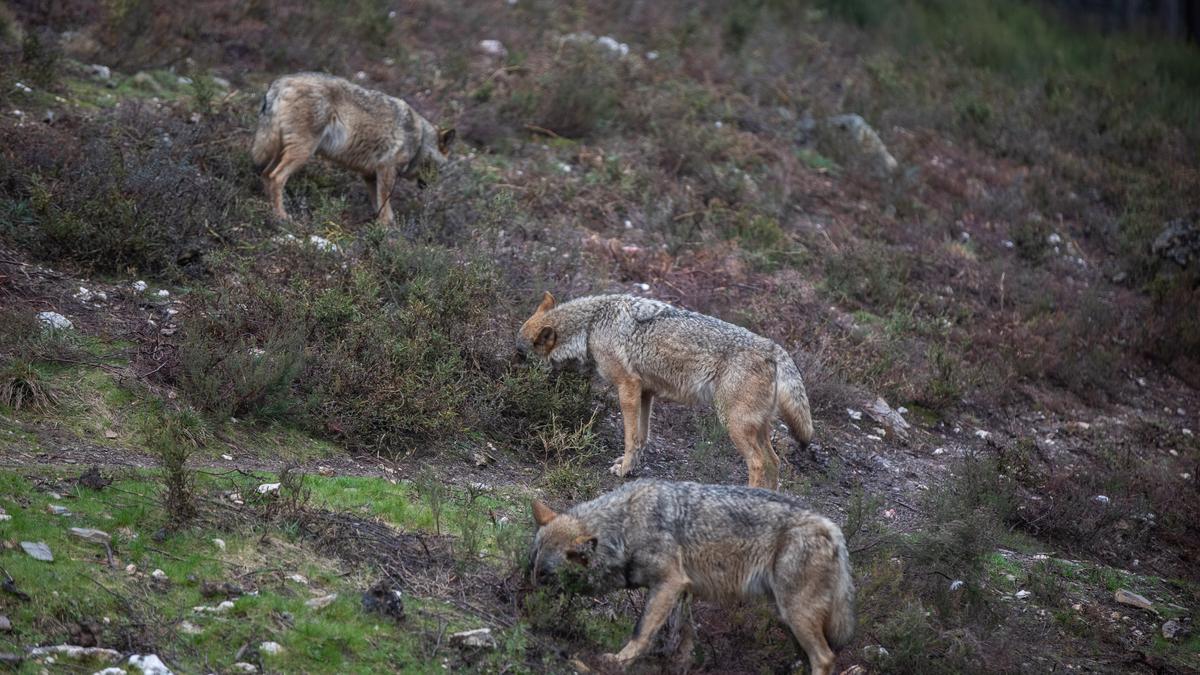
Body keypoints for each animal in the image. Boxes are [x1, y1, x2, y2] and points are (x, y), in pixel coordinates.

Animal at [250, 72, 456, 222]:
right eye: (440, 169)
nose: (429, 186)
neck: (420, 141)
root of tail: (281, 82)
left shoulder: (370, 175)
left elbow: (380, 206)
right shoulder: (386, 170)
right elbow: (386, 207)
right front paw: (387, 230)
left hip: (281, 151)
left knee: (266, 174)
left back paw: (267, 206)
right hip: (302, 153)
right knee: (276, 177)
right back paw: (281, 216)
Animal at [516, 291, 816, 485]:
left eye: (520, 355)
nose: (512, 376)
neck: (591, 326)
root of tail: (774, 349)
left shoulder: (628, 387)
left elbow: (630, 437)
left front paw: (624, 470)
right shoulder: (646, 392)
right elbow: (641, 437)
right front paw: (630, 467)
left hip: (734, 425)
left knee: (757, 463)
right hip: (756, 428)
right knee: (774, 463)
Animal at [530, 478, 859, 672]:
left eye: (546, 576)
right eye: (532, 570)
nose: (524, 599)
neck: (625, 526)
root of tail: (832, 527)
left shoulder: (668, 583)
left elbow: (641, 631)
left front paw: (618, 661)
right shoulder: (683, 590)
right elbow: (685, 638)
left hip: (795, 614)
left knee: (825, 658)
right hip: (787, 617)